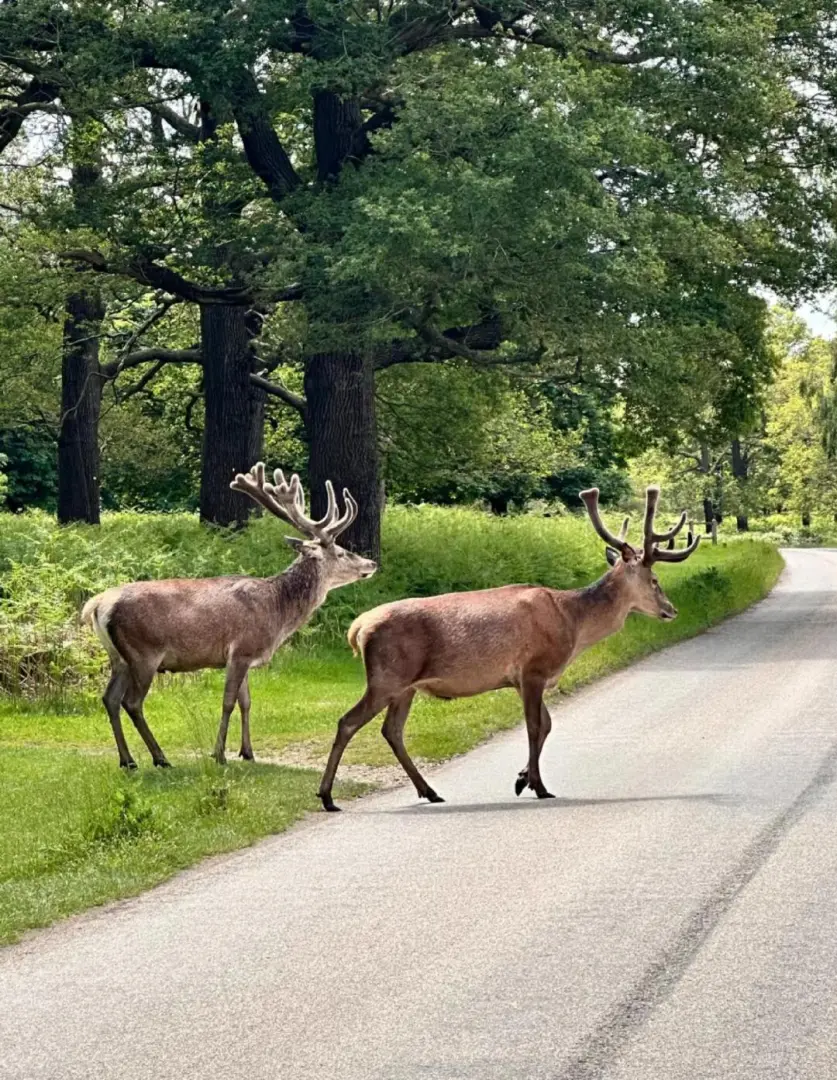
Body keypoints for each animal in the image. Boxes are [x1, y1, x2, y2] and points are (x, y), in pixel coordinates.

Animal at [82, 464, 375, 768]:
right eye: (341, 553)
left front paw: (248, 752)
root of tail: (96, 605)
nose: (372, 563)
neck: (278, 611)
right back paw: (159, 758)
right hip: (143, 652)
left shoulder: (245, 656)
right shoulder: (241, 650)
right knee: (131, 702)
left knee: (109, 698)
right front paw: (219, 754)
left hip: (119, 657)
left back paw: (128, 760)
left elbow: (246, 702)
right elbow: (228, 702)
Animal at [317, 488, 695, 812]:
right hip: (387, 676)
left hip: (405, 686)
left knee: (391, 730)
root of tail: (357, 629)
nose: (672, 610)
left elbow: (547, 724)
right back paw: (327, 796)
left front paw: (522, 778)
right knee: (348, 721)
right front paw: (537, 785)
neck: (572, 623)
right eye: (655, 581)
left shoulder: (524, 679)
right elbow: (535, 726)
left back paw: (430, 791)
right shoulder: (533, 669)